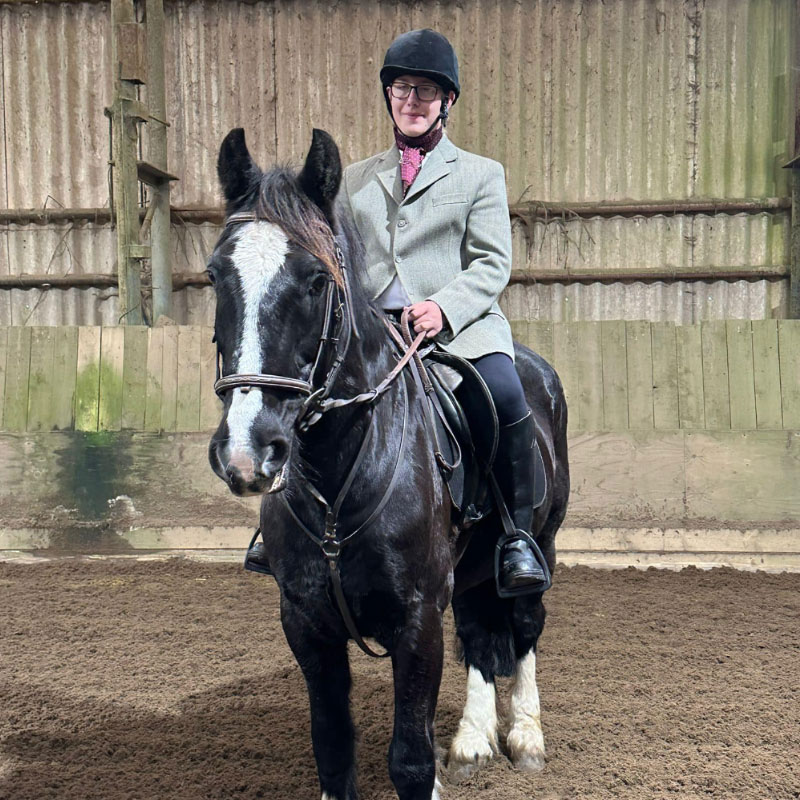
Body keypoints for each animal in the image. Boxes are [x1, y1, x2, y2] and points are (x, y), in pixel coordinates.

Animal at [207, 127, 570, 800]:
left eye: (315, 280)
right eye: (216, 274)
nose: (249, 450)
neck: (339, 476)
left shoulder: (417, 617)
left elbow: (410, 759)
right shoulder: (306, 623)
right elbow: (333, 749)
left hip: (541, 546)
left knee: (524, 625)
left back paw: (526, 737)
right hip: (469, 566)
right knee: (480, 633)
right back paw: (473, 741)